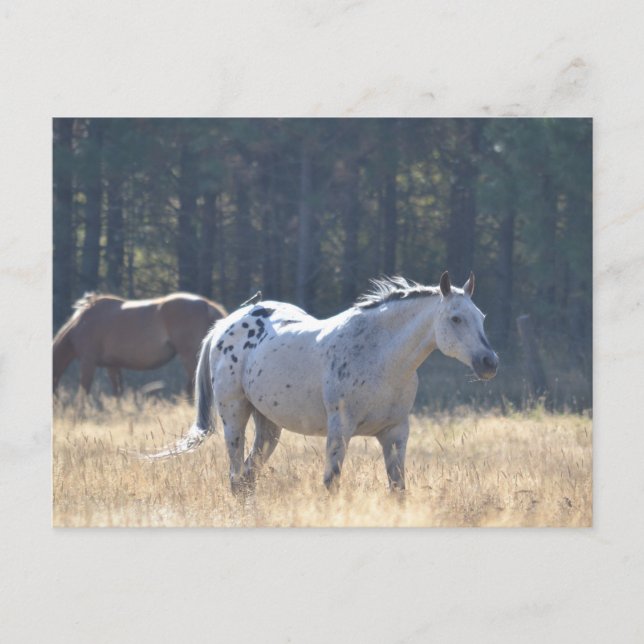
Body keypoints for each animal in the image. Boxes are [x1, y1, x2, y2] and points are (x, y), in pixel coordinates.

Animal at [53, 292, 227, 396]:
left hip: (190, 356)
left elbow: (83, 391)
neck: (80, 324)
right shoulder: (112, 365)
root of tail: (206, 305)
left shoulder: (87, 362)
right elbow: (117, 391)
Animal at [140, 272, 498, 493]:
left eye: (481, 317)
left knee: (248, 477)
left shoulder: (395, 433)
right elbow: (332, 482)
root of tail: (226, 324)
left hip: (268, 426)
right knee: (236, 477)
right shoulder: (340, 429)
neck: (380, 356)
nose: (489, 362)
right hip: (234, 418)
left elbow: (398, 488)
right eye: (455, 318)